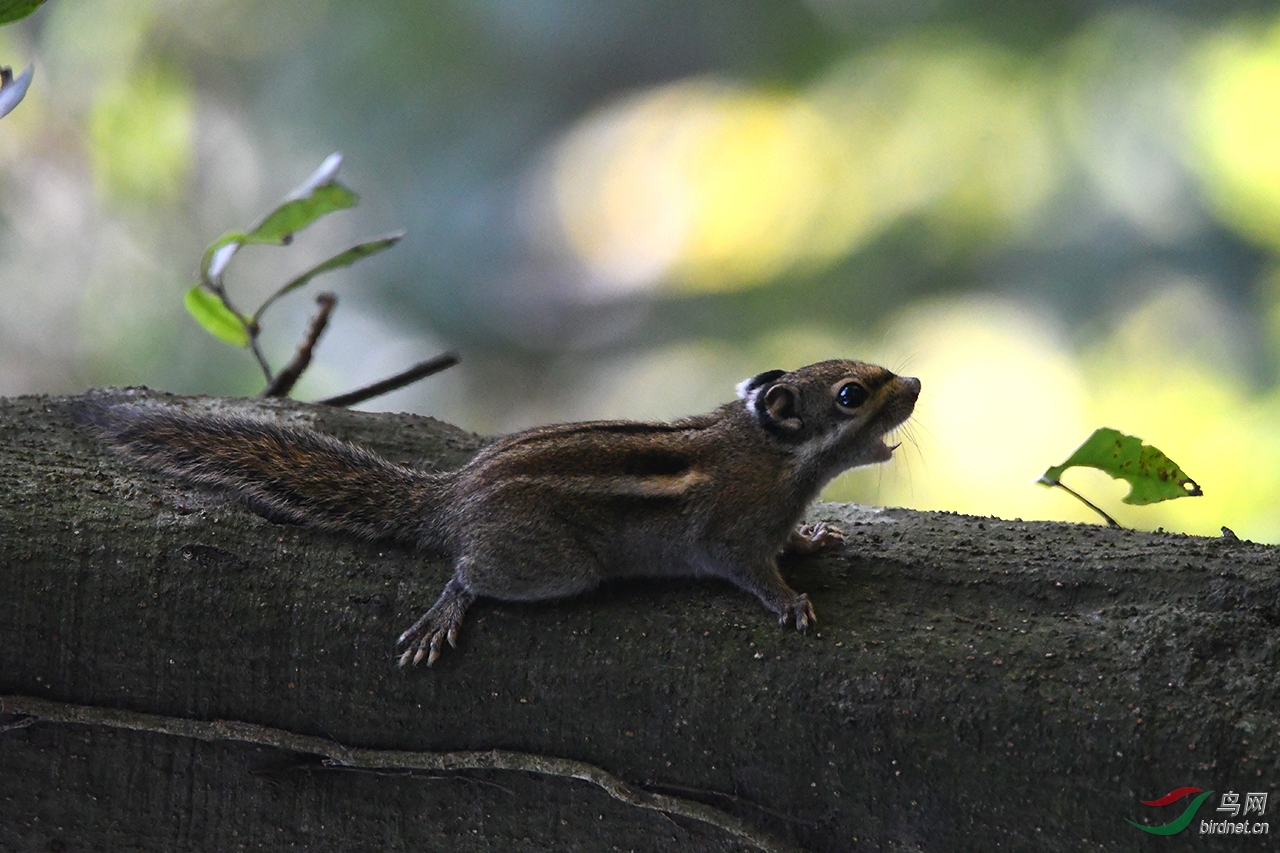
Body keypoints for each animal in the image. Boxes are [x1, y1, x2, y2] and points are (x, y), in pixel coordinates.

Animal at [80, 358, 921, 666]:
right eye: (852, 393)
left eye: (877, 372)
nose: (913, 382)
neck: (774, 454)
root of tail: (451, 496)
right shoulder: (731, 531)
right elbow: (749, 570)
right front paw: (790, 598)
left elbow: (791, 541)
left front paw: (812, 538)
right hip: (554, 564)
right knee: (470, 572)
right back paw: (447, 609)